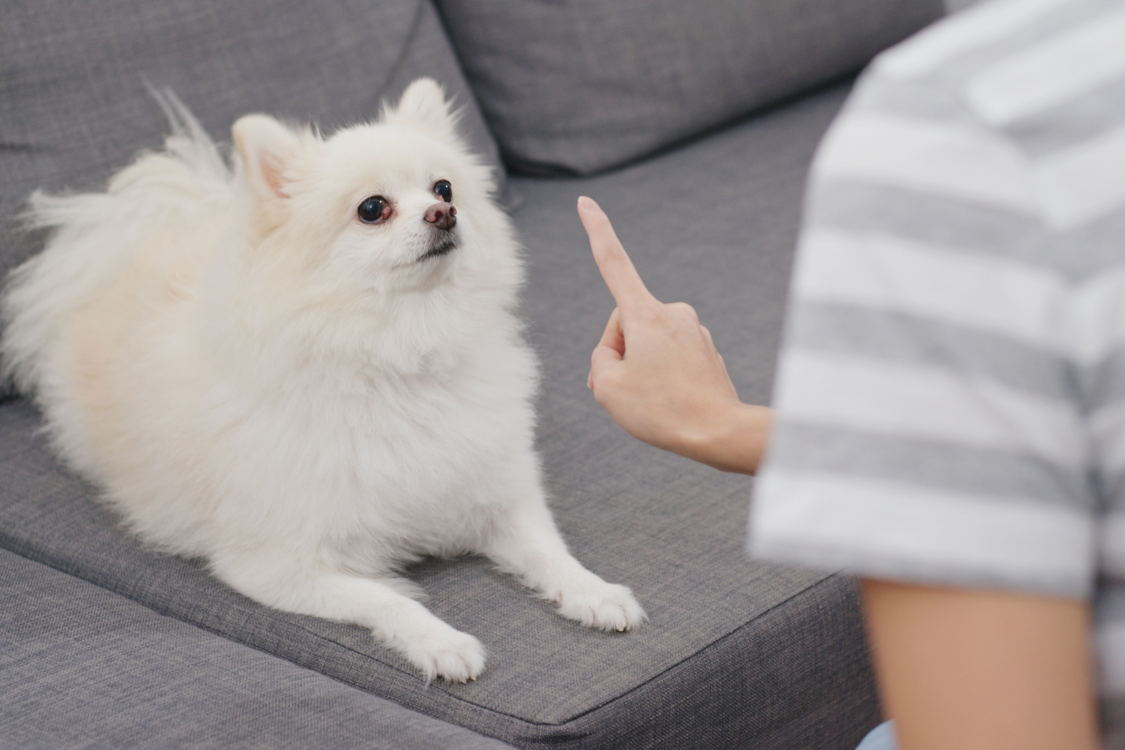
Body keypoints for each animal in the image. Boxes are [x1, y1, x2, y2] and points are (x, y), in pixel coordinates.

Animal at [2, 79, 643, 683]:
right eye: (373, 208)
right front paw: (440, 642)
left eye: (444, 189)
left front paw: (594, 592)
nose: (444, 214)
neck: (398, 355)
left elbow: (548, 552)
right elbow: (385, 599)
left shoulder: (499, 497)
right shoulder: (273, 566)